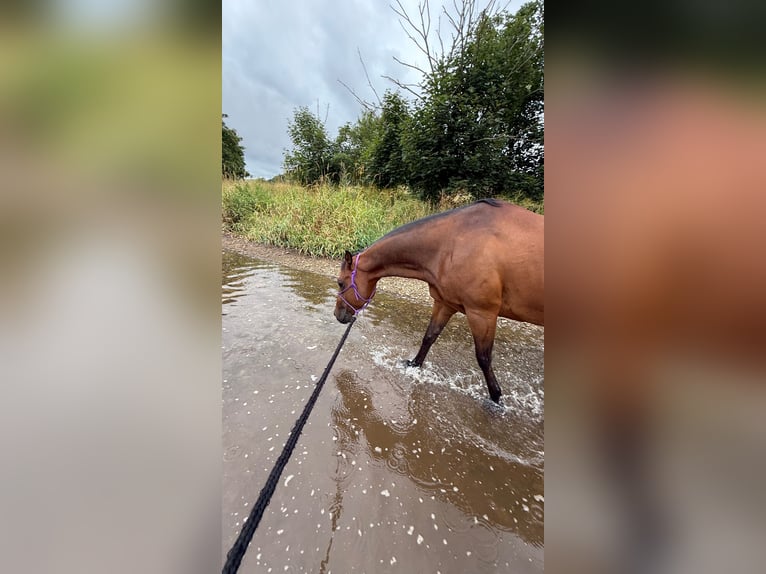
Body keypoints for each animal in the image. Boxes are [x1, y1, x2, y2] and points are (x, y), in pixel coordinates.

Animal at [334, 198, 544, 403]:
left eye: (340, 283)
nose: (337, 315)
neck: (453, 242)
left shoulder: (482, 314)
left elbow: (483, 358)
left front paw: (496, 397)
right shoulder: (445, 304)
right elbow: (429, 337)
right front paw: (413, 365)